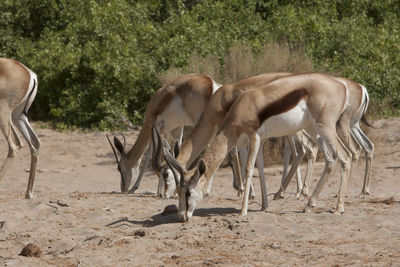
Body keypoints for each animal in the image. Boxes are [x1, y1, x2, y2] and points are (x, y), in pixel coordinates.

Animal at [0, 58, 40, 199]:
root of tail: (29, 73)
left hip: (4, 113)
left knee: (14, 146)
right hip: (18, 116)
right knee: (35, 142)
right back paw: (29, 193)